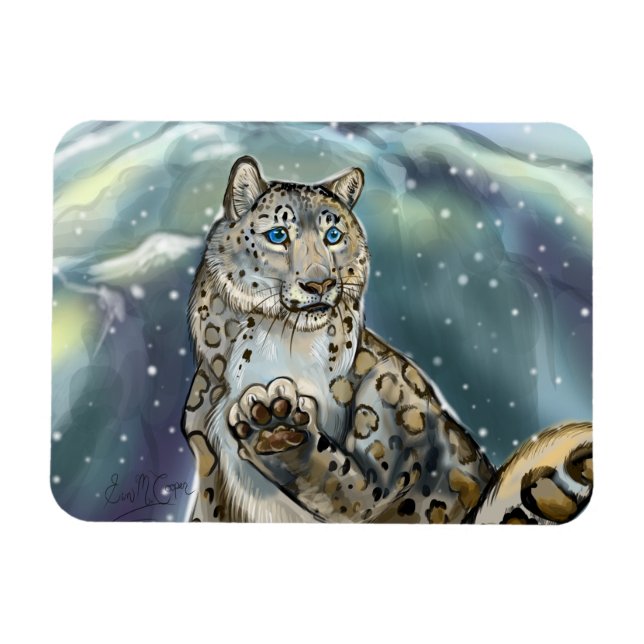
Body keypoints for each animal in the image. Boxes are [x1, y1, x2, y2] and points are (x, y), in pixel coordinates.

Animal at [181, 155, 593, 524]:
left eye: (333, 235)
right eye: (278, 235)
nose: (319, 283)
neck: (280, 342)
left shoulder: (386, 439)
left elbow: (345, 485)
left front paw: (276, 424)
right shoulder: (207, 461)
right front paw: (271, 421)